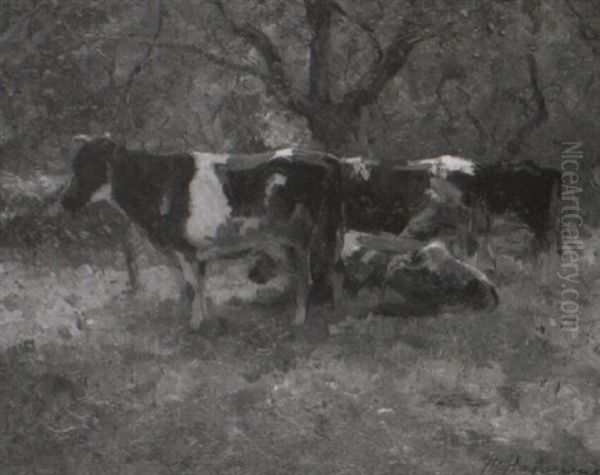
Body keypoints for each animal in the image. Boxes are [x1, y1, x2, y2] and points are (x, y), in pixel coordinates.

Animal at [62, 136, 342, 330]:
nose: (65, 201)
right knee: (324, 272)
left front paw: (194, 326)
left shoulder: (184, 249)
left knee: (306, 277)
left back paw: (299, 321)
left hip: (299, 239)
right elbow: (202, 285)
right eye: (75, 166)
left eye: (90, 168)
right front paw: (205, 319)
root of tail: (324, 157)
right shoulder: (200, 252)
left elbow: (190, 288)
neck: (155, 184)